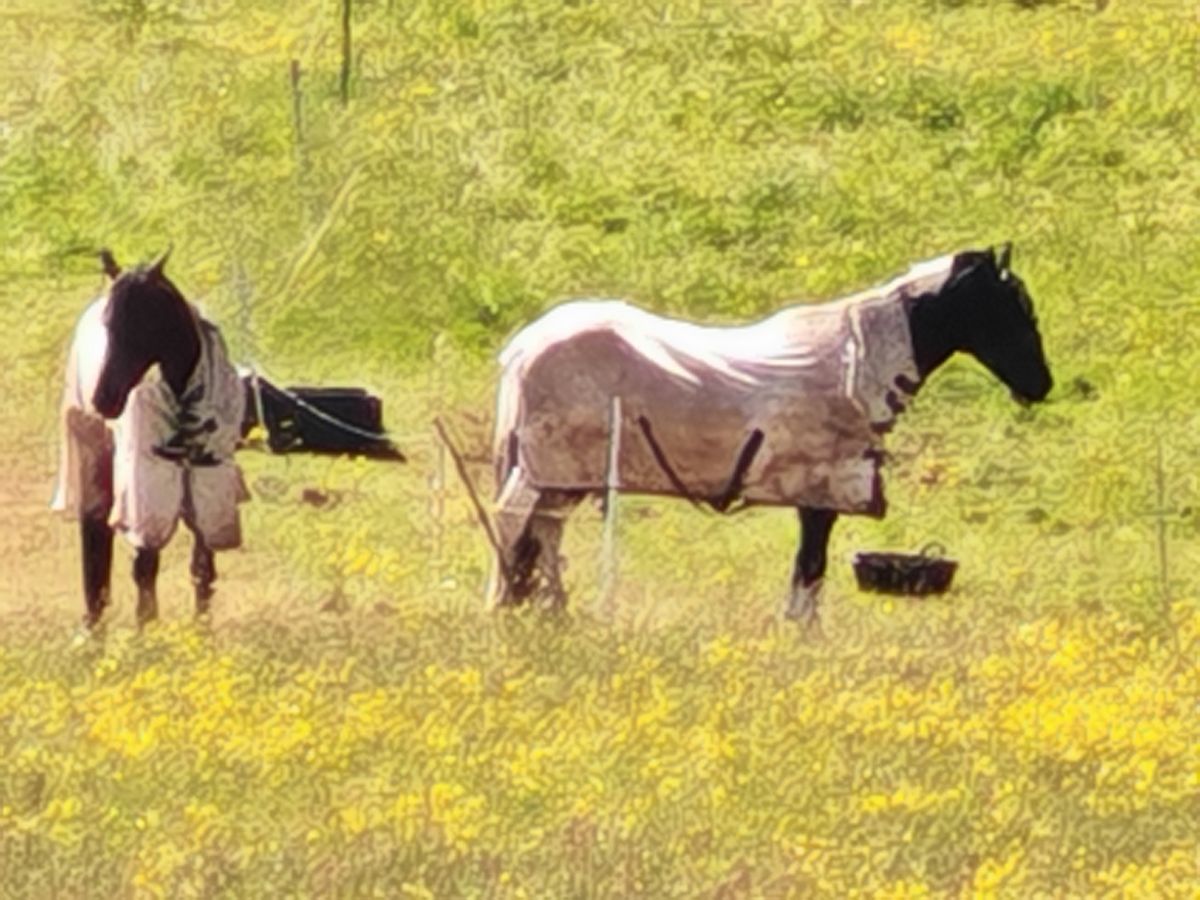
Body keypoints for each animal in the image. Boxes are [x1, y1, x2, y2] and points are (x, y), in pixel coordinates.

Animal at [53, 249, 249, 630]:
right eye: (109, 324)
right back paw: (94, 625)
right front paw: (149, 632)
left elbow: (202, 567)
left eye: (144, 322)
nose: (104, 399)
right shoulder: (146, 486)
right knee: (96, 537)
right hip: (94, 457)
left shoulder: (210, 485)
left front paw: (202, 633)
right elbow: (145, 566)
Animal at [487, 244, 1053, 625]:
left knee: (543, 532)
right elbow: (811, 568)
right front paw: (803, 635)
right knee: (517, 524)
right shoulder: (820, 494)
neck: (856, 364)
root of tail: (525, 346)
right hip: (547, 468)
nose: (1041, 385)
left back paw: (547, 613)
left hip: (560, 475)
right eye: (1008, 307)